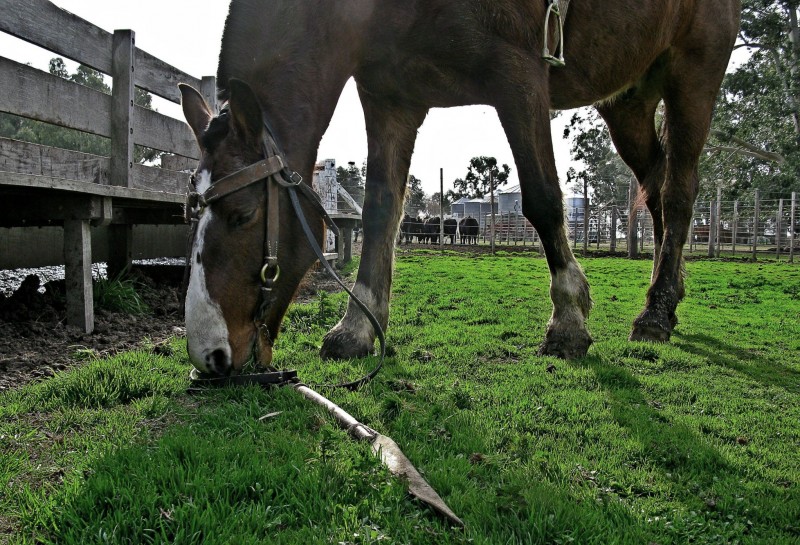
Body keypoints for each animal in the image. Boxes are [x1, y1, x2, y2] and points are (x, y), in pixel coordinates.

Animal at [178, 0, 740, 374]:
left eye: (243, 213)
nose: (211, 356)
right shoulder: (391, 97)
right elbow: (381, 211)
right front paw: (357, 328)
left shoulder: (520, 73)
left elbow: (542, 197)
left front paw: (569, 320)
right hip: (629, 99)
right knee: (657, 188)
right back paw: (667, 297)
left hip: (694, 69)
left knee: (678, 192)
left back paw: (656, 312)